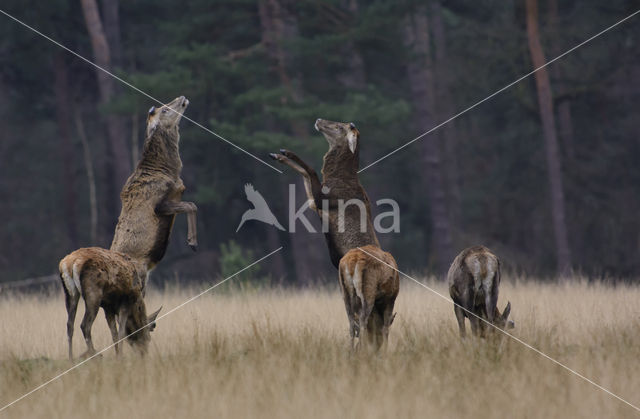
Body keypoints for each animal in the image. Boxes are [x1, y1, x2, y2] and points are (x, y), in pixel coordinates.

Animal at [268, 118, 398, 352]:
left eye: (340, 127)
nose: (319, 120)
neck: (338, 178)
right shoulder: (316, 203)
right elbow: (306, 174)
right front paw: (279, 154)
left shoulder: (324, 199)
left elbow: (311, 170)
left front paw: (284, 152)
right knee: (354, 322)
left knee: (359, 321)